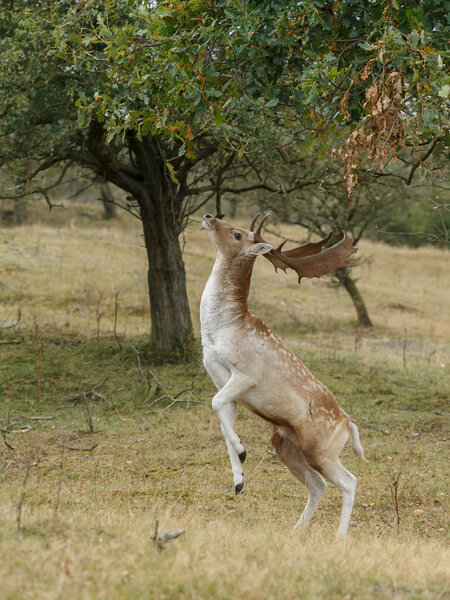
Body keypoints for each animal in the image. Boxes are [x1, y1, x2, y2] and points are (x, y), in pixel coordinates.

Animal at [200, 213, 366, 536]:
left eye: (238, 234)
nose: (209, 216)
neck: (219, 332)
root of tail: (348, 424)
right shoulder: (222, 382)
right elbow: (221, 417)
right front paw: (238, 480)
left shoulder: (246, 373)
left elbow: (214, 404)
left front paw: (243, 452)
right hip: (287, 446)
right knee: (318, 485)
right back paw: (294, 532)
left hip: (321, 451)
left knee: (349, 481)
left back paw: (339, 537)